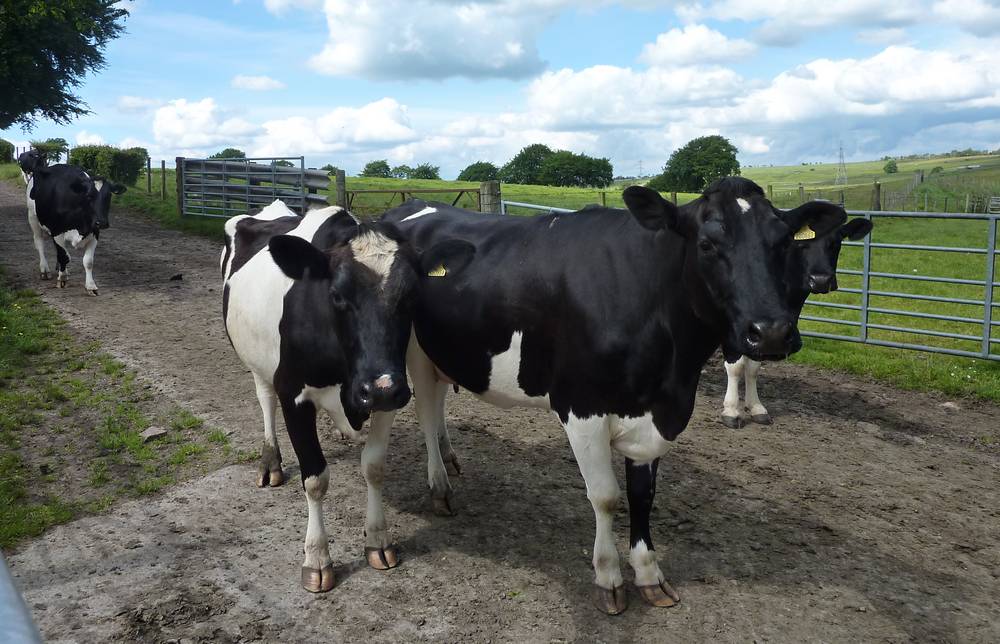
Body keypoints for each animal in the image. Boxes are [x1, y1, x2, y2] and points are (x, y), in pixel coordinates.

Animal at [25, 164, 125, 294]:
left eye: (108, 196)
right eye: (89, 196)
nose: (102, 222)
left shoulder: (94, 232)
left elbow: (88, 261)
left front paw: (91, 285)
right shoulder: (57, 231)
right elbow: (64, 256)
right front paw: (62, 279)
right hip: (33, 218)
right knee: (39, 243)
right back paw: (45, 270)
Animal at [223, 199, 472, 592]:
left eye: (412, 296)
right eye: (337, 296)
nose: (378, 386)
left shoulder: (388, 396)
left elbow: (374, 467)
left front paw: (378, 539)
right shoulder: (294, 395)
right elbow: (315, 479)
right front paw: (317, 558)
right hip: (257, 362)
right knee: (264, 400)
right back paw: (270, 461)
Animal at [378, 179, 848, 616]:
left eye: (783, 242)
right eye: (707, 243)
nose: (771, 332)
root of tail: (407, 206)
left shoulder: (657, 414)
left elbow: (643, 496)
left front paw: (649, 574)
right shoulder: (581, 407)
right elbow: (605, 496)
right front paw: (608, 578)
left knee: (439, 402)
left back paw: (450, 458)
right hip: (414, 349)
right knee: (426, 410)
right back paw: (439, 485)